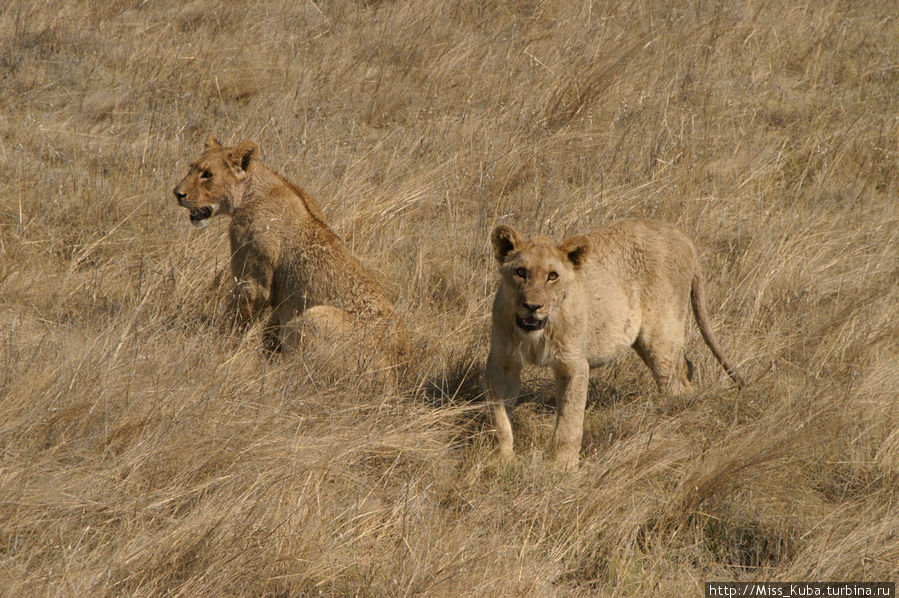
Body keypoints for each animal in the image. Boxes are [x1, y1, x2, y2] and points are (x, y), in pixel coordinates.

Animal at [173, 136, 412, 380]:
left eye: (207, 174)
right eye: (191, 168)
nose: (177, 193)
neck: (253, 192)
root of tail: (400, 372)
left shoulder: (252, 280)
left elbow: (235, 322)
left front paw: (217, 346)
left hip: (314, 316)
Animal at [486, 220, 744, 468]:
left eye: (552, 276)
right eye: (521, 272)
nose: (532, 306)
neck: (536, 332)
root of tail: (682, 236)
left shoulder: (574, 365)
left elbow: (570, 420)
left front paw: (562, 466)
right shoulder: (502, 362)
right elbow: (500, 418)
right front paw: (502, 460)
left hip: (661, 338)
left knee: (678, 386)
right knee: (684, 369)